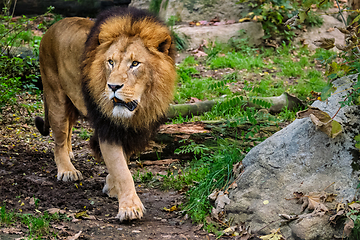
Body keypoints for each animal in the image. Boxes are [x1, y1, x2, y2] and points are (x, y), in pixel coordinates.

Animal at [33, 7, 176, 221]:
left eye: (135, 63)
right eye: (110, 62)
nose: (113, 86)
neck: (141, 105)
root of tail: (52, 27)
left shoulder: (131, 130)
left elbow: (123, 161)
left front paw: (111, 186)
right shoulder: (107, 127)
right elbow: (122, 169)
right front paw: (129, 208)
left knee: (68, 128)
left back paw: (70, 152)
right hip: (55, 95)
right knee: (58, 140)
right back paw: (67, 170)